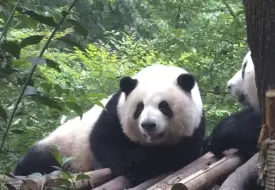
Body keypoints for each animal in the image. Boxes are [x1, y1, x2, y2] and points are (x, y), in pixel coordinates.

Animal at [14, 64, 206, 186]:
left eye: (164, 106)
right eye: (139, 107)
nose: (148, 125)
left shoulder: (195, 125)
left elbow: (180, 155)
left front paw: (143, 164)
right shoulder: (115, 109)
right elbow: (104, 141)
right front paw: (134, 162)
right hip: (62, 149)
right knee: (37, 162)